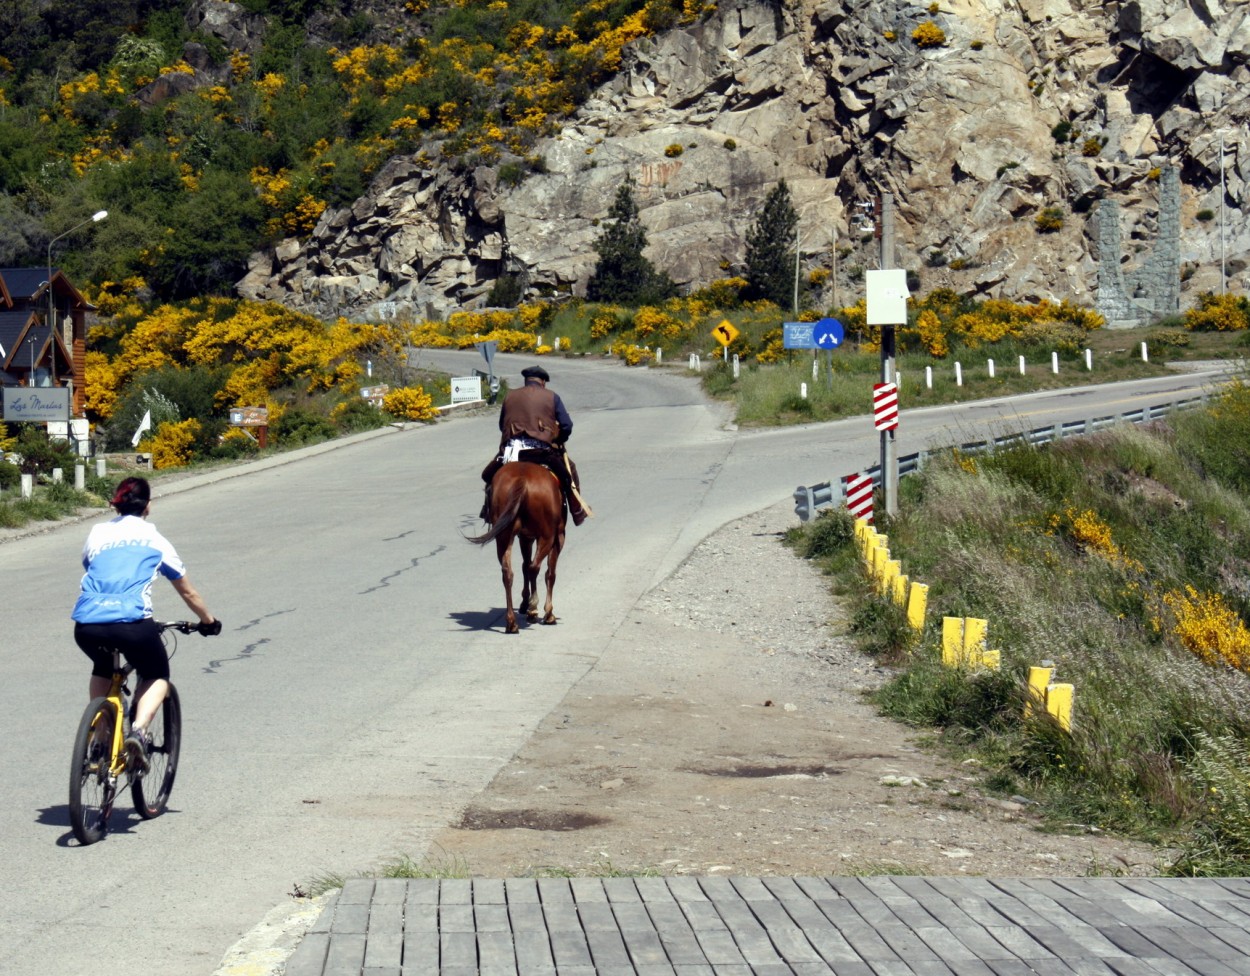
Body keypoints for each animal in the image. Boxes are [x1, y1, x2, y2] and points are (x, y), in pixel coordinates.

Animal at [470, 459, 567, 632]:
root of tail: (521, 478)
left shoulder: (525, 537)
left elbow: (524, 566)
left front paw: (523, 603)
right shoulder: (558, 538)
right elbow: (549, 572)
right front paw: (547, 612)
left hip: (504, 536)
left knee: (508, 572)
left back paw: (511, 622)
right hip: (547, 536)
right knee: (535, 567)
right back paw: (533, 610)